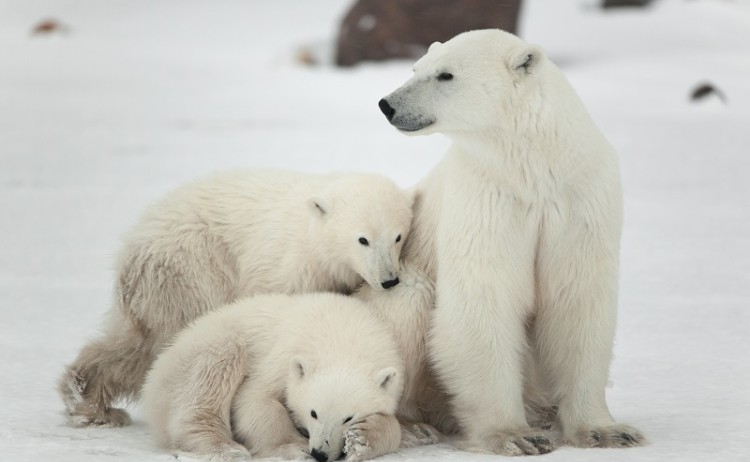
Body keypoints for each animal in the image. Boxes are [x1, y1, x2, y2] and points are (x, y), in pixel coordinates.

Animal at [58, 169, 414, 428]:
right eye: (363, 239)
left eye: (398, 236)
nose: (389, 279)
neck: (312, 238)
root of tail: (131, 245)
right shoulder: (282, 268)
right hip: (190, 268)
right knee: (157, 341)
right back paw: (90, 402)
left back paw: (90, 401)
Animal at [141, 292, 404, 462]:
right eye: (313, 413)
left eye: (348, 418)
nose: (320, 453)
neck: (342, 334)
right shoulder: (283, 354)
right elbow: (255, 400)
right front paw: (296, 448)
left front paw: (362, 439)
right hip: (195, 356)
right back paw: (226, 448)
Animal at [378, 29, 646, 454]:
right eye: (416, 68)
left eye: (445, 74)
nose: (387, 104)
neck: (533, 167)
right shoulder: (487, 198)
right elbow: (485, 299)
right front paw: (515, 436)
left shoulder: (578, 200)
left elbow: (577, 300)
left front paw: (606, 431)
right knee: (409, 300)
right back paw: (410, 426)